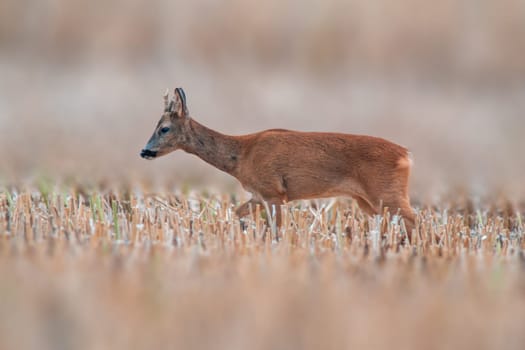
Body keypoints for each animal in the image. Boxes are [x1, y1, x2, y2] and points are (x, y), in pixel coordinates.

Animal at [139, 89, 414, 238]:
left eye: (164, 128)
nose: (144, 151)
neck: (242, 155)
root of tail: (406, 155)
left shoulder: (274, 192)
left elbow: (277, 230)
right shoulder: (259, 194)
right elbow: (237, 212)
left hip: (385, 191)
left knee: (414, 218)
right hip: (368, 200)